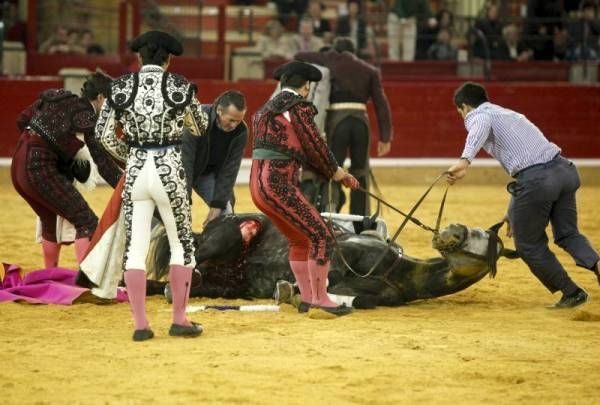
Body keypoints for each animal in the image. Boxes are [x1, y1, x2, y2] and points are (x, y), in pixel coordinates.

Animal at [148, 213, 516, 308]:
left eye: (484, 236)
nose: (452, 230)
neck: (398, 272)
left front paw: (290, 291)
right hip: (226, 238)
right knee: (186, 261)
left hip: (226, 285)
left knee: (188, 282)